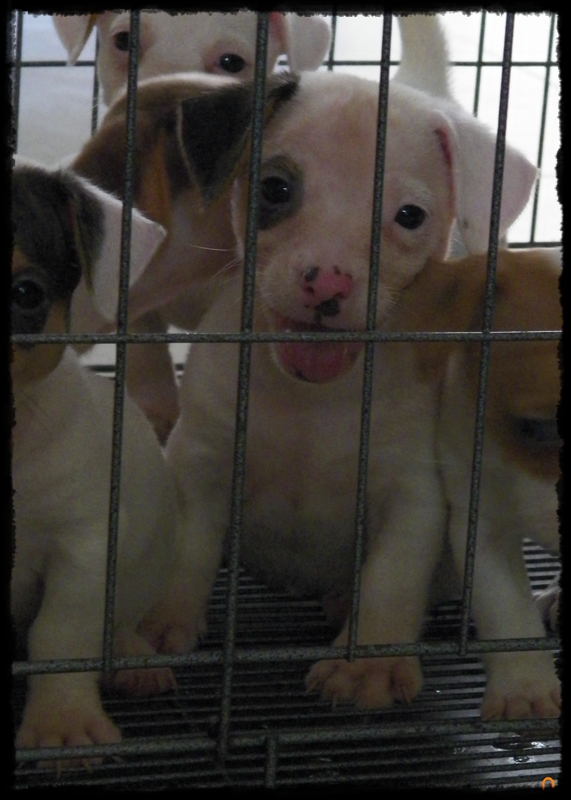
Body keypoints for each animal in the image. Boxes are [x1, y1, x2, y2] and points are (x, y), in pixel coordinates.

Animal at [135, 70, 537, 710]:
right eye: (274, 188)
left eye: (409, 215)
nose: (327, 282)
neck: (315, 400)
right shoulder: (199, 459)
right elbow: (187, 548)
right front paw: (157, 622)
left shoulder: (413, 493)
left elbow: (391, 578)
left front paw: (366, 664)